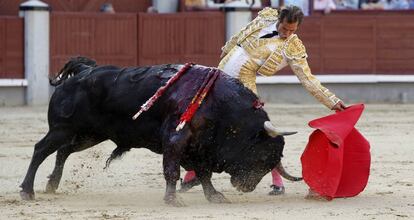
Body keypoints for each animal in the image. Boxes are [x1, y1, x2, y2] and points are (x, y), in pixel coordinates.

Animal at [19, 56, 300, 206]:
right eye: (262, 154)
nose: (246, 187)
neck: (220, 105)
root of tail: (83, 71)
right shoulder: (176, 139)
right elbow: (172, 170)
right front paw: (173, 199)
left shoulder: (200, 147)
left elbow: (204, 173)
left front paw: (214, 196)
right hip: (63, 128)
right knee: (41, 149)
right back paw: (27, 190)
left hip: (89, 134)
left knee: (63, 152)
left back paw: (52, 184)